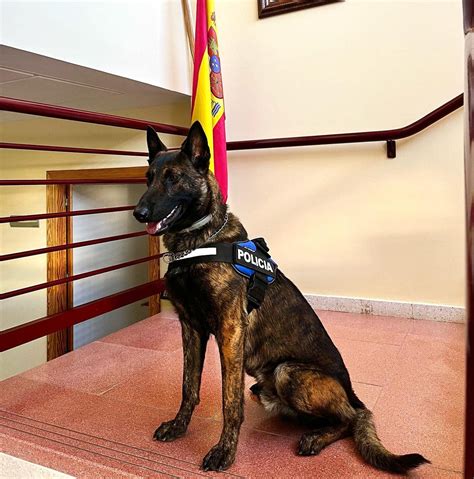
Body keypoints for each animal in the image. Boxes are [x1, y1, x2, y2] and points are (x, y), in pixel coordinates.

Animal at [133, 122, 430, 474]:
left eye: (173, 178)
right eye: (149, 177)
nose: (139, 212)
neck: (200, 242)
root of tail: (353, 394)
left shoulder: (230, 330)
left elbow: (229, 402)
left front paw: (225, 451)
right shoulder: (191, 328)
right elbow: (188, 387)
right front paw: (179, 426)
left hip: (288, 372)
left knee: (349, 419)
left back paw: (317, 437)